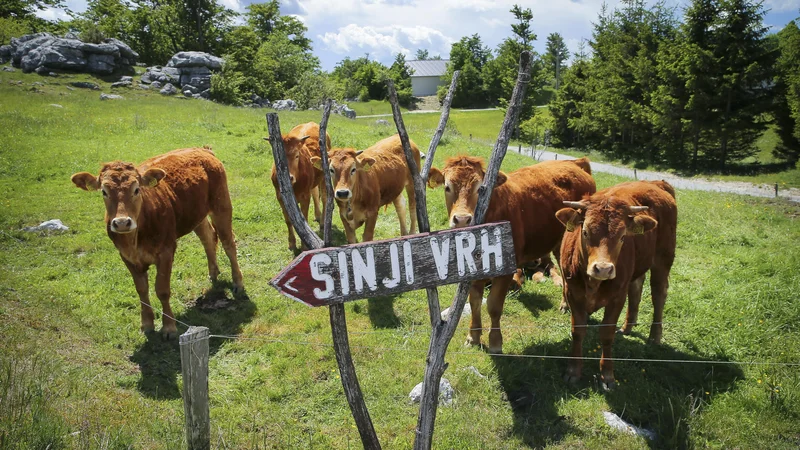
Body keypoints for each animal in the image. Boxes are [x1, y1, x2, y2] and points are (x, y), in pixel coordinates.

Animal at [70, 148, 242, 338]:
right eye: (104, 191)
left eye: (136, 189)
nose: (122, 222)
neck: (135, 239)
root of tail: (203, 150)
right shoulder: (126, 257)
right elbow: (141, 290)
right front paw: (146, 324)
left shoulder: (166, 251)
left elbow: (162, 290)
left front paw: (169, 327)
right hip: (197, 215)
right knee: (208, 238)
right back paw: (213, 273)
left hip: (221, 206)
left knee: (228, 244)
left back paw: (238, 283)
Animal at [268, 121, 332, 251]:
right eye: (278, 159)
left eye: (297, 155)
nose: (290, 177)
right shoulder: (280, 198)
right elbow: (288, 221)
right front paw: (291, 243)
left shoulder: (304, 196)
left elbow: (304, 219)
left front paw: (304, 246)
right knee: (315, 193)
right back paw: (318, 216)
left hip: (323, 176)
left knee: (324, 198)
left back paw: (323, 222)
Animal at [432, 156, 592, 354]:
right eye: (447, 187)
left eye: (480, 189)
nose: (462, 219)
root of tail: (575, 163)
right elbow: (475, 301)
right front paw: (473, 337)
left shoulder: (508, 270)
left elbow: (494, 305)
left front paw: (495, 342)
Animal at [556, 181, 680, 388]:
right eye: (585, 232)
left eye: (623, 236)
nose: (603, 269)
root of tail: (656, 183)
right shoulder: (573, 293)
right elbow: (578, 332)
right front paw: (573, 371)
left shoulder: (616, 298)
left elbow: (607, 334)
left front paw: (607, 375)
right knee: (636, 289)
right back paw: (628, 327)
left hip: (663, 259)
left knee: (658, 295)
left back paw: (654, 336)